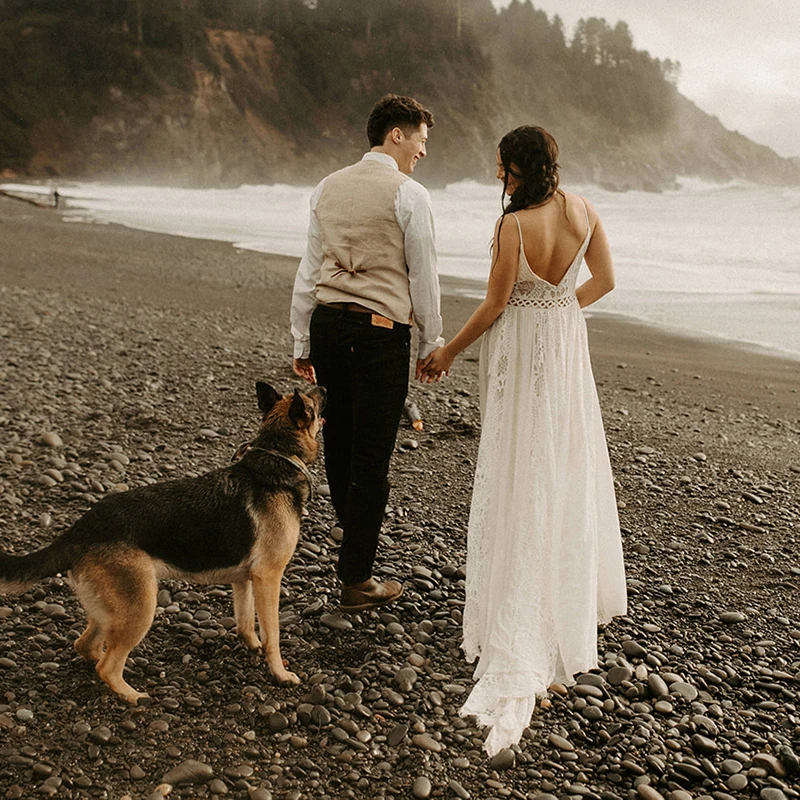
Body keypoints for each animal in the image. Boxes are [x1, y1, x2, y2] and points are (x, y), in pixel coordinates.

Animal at [0, 384, 324, 704]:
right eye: (312, 402)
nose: (321, 386)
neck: (279, 454)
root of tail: (83, 528)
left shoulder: (244, 579)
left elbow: (245, 621)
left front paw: (252, 645)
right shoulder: (268, 577)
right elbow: (273, 634)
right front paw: (280, 673)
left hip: (111, 609)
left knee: (87, 646)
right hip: (141, 607)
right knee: (107, 665)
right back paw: (133, 696)